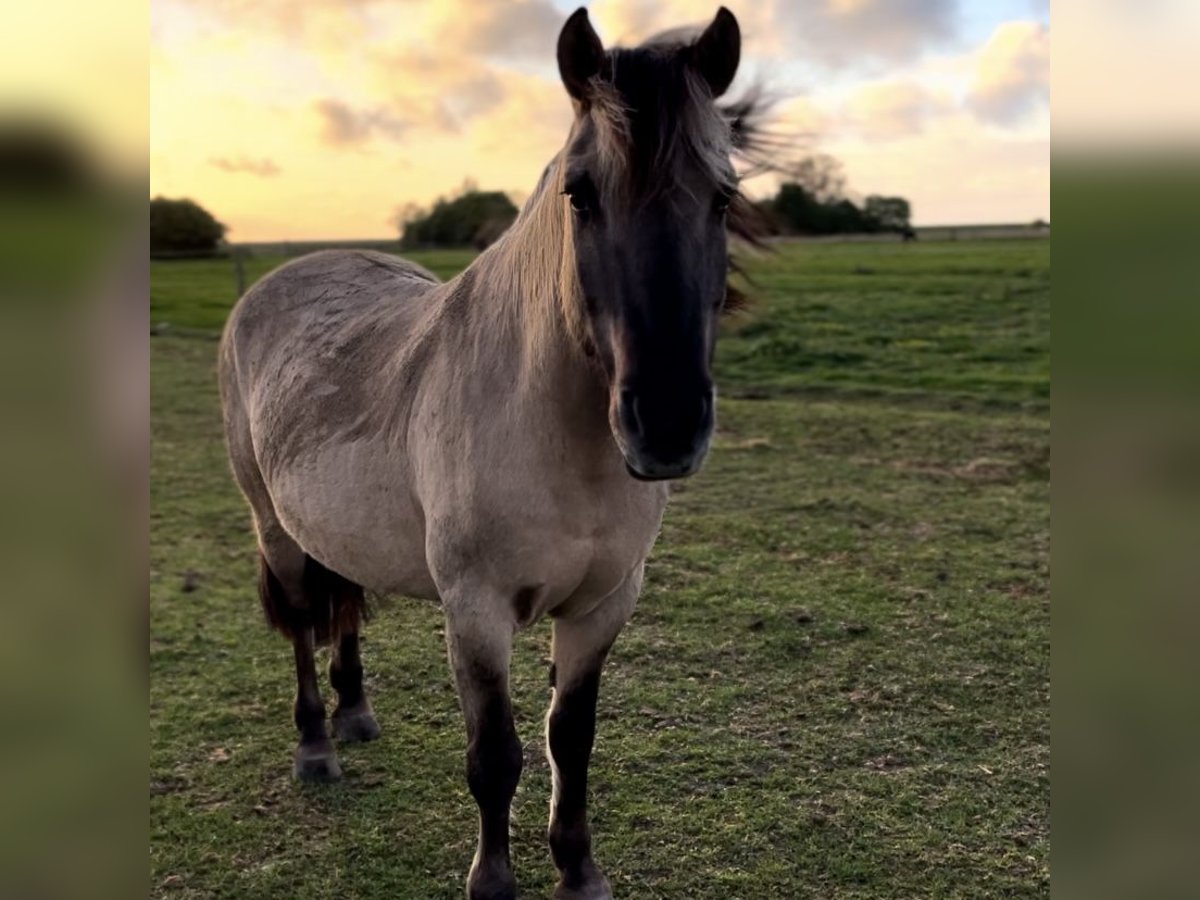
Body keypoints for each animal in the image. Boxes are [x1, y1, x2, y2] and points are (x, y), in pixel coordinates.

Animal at [219, 8, 764, 899]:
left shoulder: (602, 606)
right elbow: (496, 755)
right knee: (303, 621)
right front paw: (493, 881)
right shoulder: (476, 612)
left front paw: (579, 872)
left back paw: (356, 714)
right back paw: (316, 747)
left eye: (724, 195)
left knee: (345, 607)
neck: (559, 439)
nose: (666, 425)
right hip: (274, 526)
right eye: (580, 192)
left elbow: (569, 739)